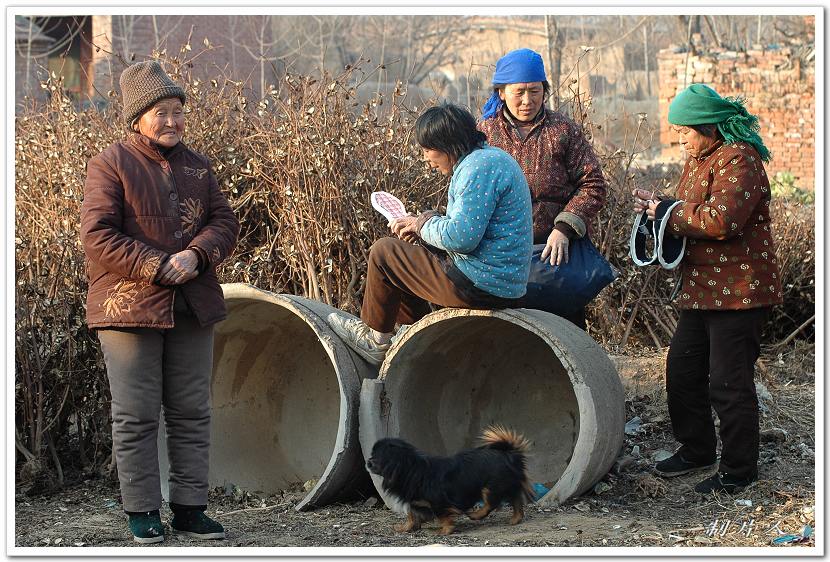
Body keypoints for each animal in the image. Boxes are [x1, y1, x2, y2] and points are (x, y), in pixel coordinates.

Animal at [368, 424, 536, 532]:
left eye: (375, 458)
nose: (367, 462)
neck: (411, 470)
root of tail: (508, 453)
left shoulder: (439, 502)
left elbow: (443, 516)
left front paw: (445, 530)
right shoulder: (415, 502)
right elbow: (412, 515)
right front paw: (405, 528)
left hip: (491, 487)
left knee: (491, 503)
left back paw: (476, 515)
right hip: (507, 485)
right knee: (516, 501)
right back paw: (516, 519)